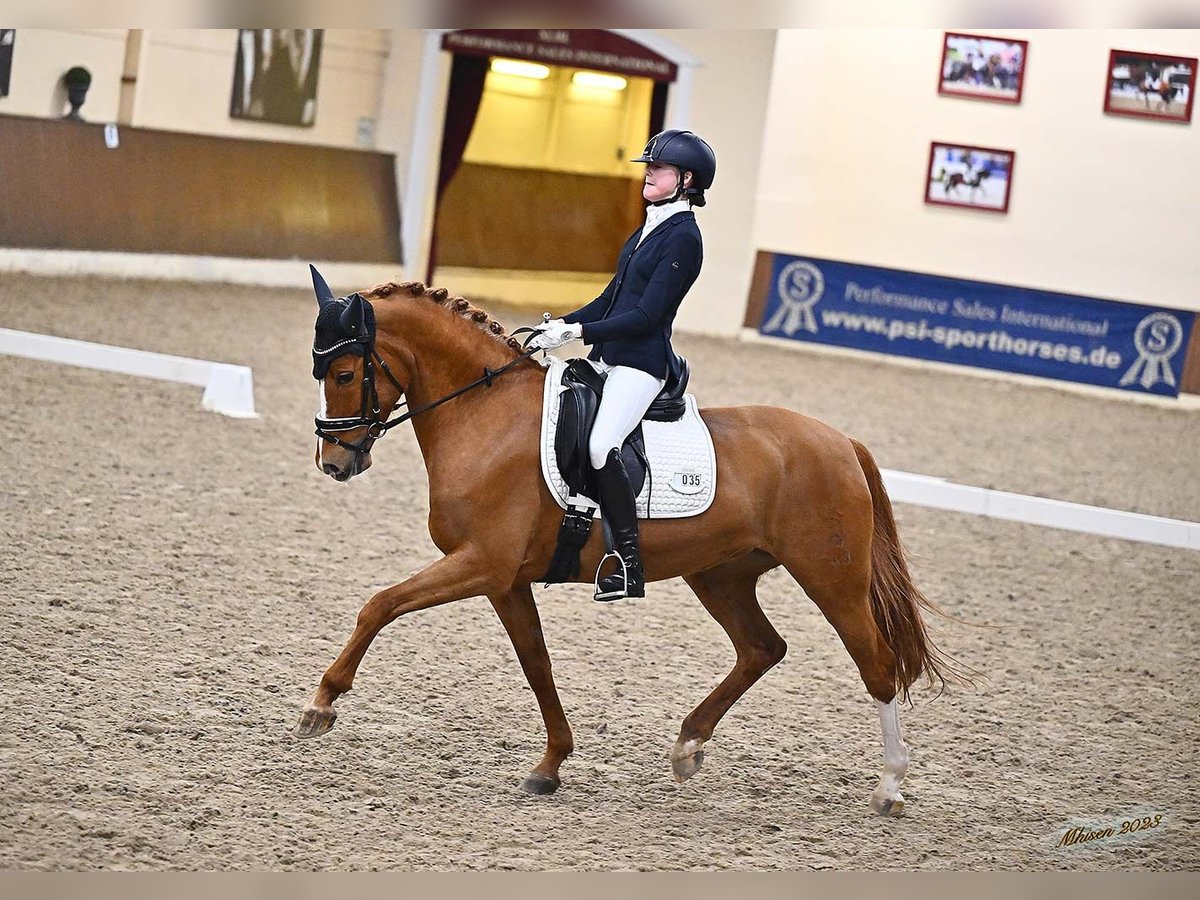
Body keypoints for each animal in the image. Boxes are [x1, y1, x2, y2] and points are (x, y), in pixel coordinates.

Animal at [295, 277, 960, 816]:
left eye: (346, 375)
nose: (334, 464)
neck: (484, 413)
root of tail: (842, 442)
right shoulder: (504, 580)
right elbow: (537, 663)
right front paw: (550, 766)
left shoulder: (481, 563)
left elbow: (380, 605)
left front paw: (322, 705)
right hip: (720, 575)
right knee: (761, 648)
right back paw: (688, 746)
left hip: (831, 577)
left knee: (876, 666)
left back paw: (890, 789)